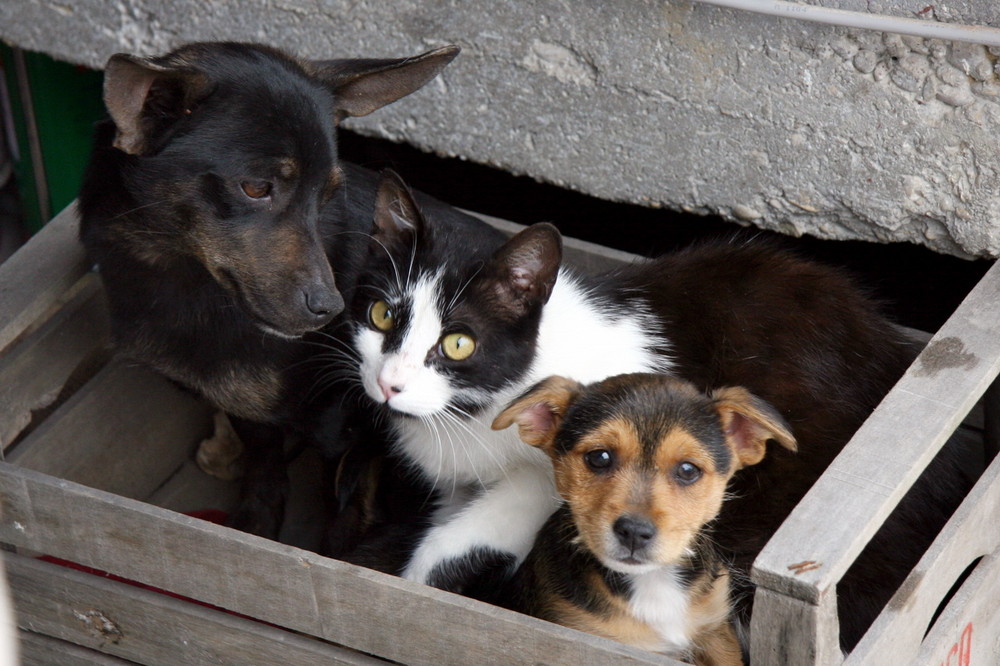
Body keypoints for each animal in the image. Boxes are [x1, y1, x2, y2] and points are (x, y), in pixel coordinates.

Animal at [79, 40, 504, 540]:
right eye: (255, 187)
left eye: (327, 195)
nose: (332, 308)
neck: (179, 276)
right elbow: (264, 460)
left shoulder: (346, 432)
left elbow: (338, 517)